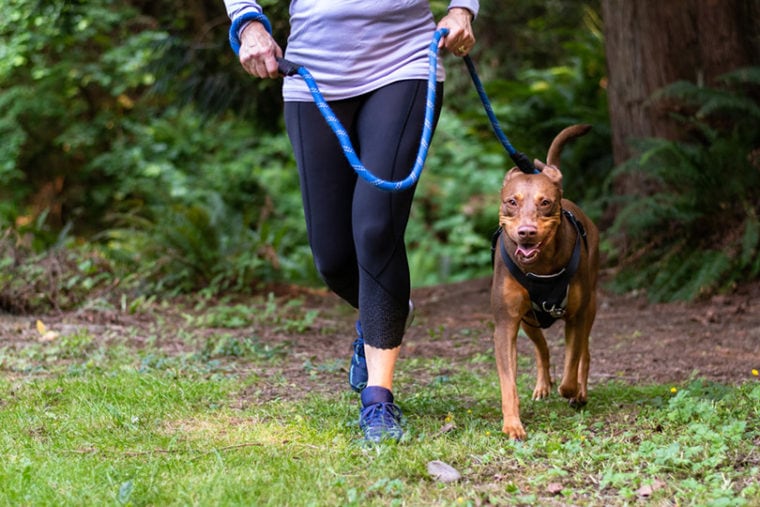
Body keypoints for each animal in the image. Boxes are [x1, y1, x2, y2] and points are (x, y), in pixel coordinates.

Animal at [492, 124, 600, 440]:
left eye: (545, 202)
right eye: (511, 201)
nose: (527, 232)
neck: (540, 267)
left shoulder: (577, 316)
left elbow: (572, 363)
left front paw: (572, 390)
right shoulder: (506, 323)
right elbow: (508, 381)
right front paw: (512, 424)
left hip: (590, 306)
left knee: (584, 352)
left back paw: (579, 392)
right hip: (530, 320)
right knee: (543, 350)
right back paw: (543, 385)